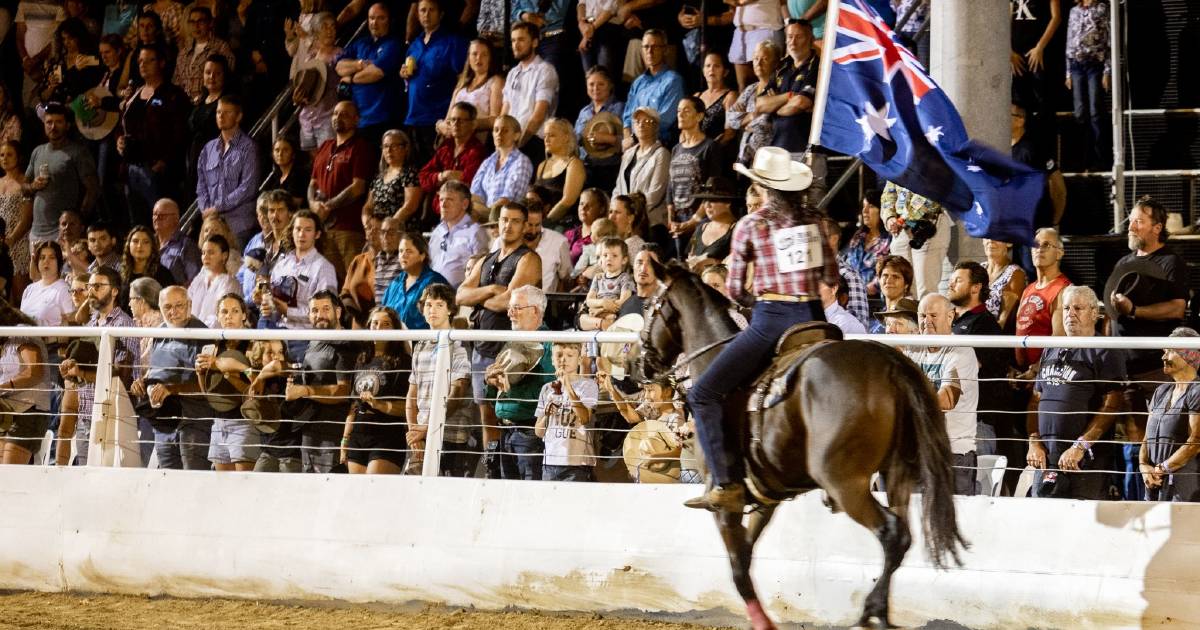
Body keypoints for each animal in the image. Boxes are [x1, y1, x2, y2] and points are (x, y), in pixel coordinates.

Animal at [638, 264, 964, 628]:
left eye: (648, 306)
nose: (640, 362)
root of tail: (889, 364)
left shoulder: (724, 505)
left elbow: (738, 569)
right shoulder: (764, 499)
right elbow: (746, 557)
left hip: (844, 483)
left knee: (891, 532)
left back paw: (871, 611)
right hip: (897, 473)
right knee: (902, 536)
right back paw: (877, 610)